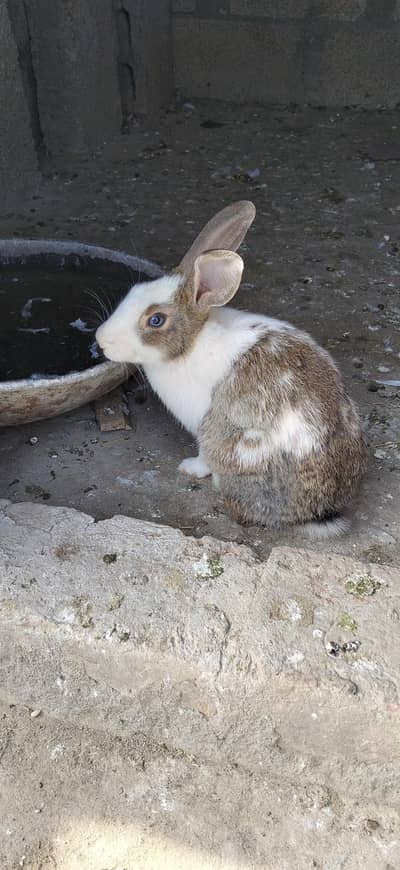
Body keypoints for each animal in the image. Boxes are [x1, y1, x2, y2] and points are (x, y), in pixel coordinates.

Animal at [96, 201, 367, 539]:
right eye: (134, 290)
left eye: (156, 320)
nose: (101, 340)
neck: (192, 341)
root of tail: (319, 512)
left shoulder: (201, 425)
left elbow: (202, 456)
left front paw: (189, 467)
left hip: (232, 444)